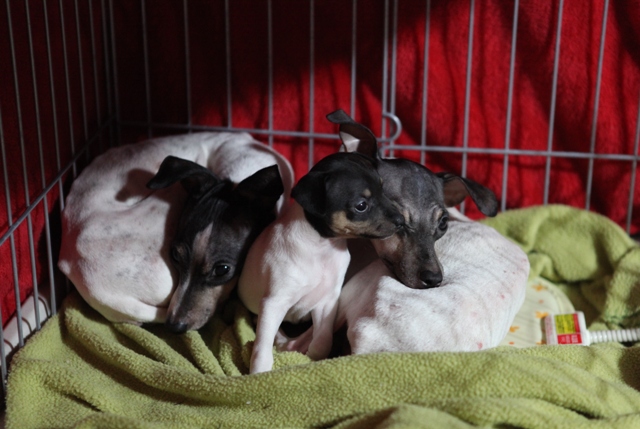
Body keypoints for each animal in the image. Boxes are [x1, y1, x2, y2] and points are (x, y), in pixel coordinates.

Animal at [237, 151, 405, 373]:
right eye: (361, 205)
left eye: (383, 189)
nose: (401, 221)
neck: (321, 248)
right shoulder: (274, 303)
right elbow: (262, 346)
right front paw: (259, 373)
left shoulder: (327, 301)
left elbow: (323, 340)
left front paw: (312, 357)